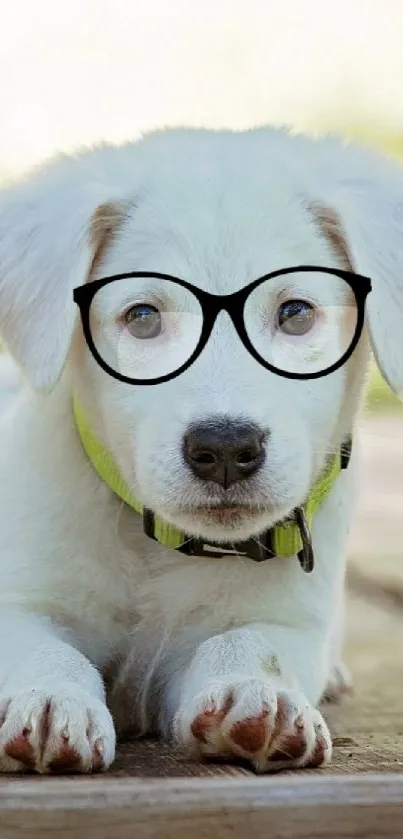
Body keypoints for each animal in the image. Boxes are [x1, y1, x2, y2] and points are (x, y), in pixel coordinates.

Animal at [0, 128, 402, 776]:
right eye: (142, 315)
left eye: (295, 312)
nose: (226, 448)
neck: (160, 546)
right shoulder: (20, 596)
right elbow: (39, 646)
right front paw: (49, 697)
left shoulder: (288, 621)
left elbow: (250, 642)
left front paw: (257, 692)